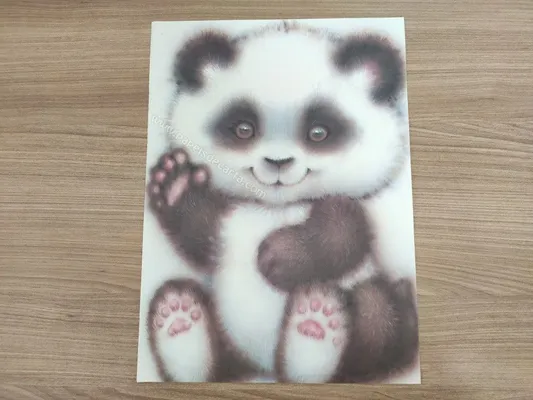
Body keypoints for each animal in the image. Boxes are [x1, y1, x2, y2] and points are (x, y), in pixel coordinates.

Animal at [145, 21, 419, 383]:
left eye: (318, 132)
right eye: (243, 129)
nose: (278, 162)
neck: (276, 209)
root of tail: (267, 366)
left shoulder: (349, 207)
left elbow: (344, 231)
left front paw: (279, 258)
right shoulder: (230, 219)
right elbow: (201, 233)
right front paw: (176, 183)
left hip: (383, 310)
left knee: (378, 316)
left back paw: (315, 331)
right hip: (229, 334)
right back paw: (180, 323)